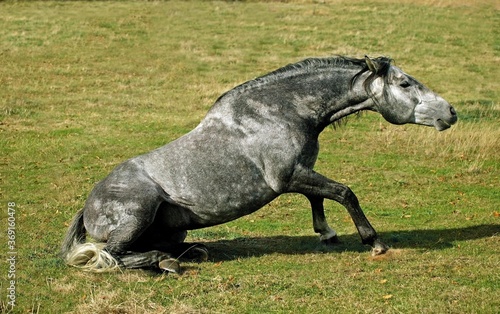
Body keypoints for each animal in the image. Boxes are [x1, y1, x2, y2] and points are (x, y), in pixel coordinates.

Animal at [62, 55, 458, 272]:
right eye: (405, 84)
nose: (450, 112)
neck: (281, 112)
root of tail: (88, 207)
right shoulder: (287, 177)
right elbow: (344, 193)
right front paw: (373, 241)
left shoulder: (300, 172)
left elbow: (318, 196)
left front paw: (326, 233)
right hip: (138, 214)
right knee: (111, 256)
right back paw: (166, 262)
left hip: (173, 228)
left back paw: (190, 252)